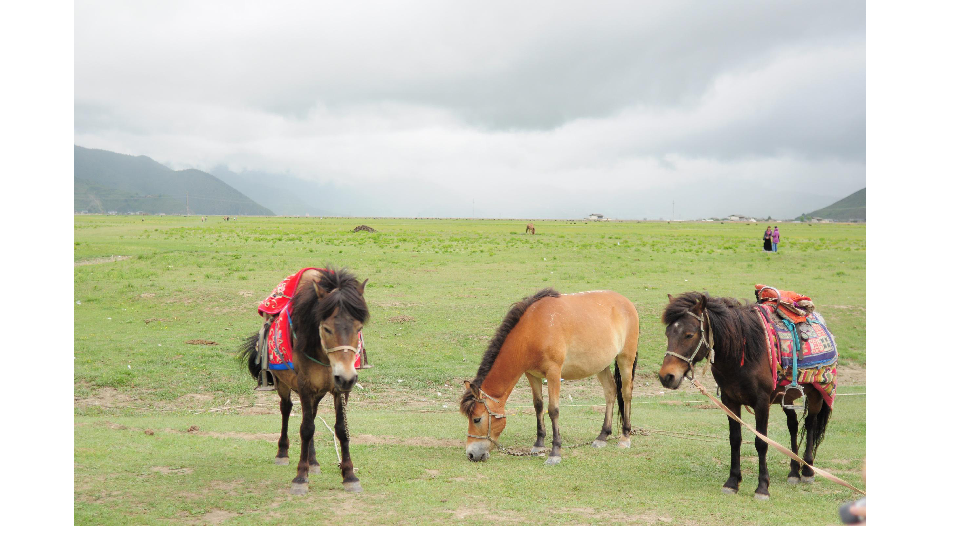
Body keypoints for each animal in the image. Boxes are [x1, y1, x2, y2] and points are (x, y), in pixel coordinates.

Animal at [240, 266, 372, 494]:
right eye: (327, 328)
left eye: (359, 327)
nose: (346, 377)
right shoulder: (304, 385)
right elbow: (306, 428)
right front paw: (301, 477)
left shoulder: (340, 389)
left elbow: (341, 429)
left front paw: (349, 475)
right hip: (284, 384)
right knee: (286, 409)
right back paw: (282, 453)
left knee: (313, 414)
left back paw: (314, 461)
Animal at [464, 288, 640, 466]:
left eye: (477, 419)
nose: (471, 454)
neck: (532, 330)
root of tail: (626, 303)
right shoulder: (531, 374)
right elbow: (538, 406)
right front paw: (539, 445)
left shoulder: (554, 373)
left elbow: (553, 410)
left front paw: (555, 452)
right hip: (601, 365)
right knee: (610, 391)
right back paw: (602, 436)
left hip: (625, 359)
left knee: (626, 393)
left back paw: (625, 437)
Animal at [660, 286, 840, 502]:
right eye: (668, 333)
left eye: (689, 334)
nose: (666, 376)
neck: (742, 352)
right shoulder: (730, 401)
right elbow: (735, 439)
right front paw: (732, 482)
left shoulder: (761, 402)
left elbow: (761, 442)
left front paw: (762, 488)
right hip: (786, 397)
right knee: (793, 426)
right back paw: (794, 472)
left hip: (816, 395)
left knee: (811, 425)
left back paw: (807, 471)